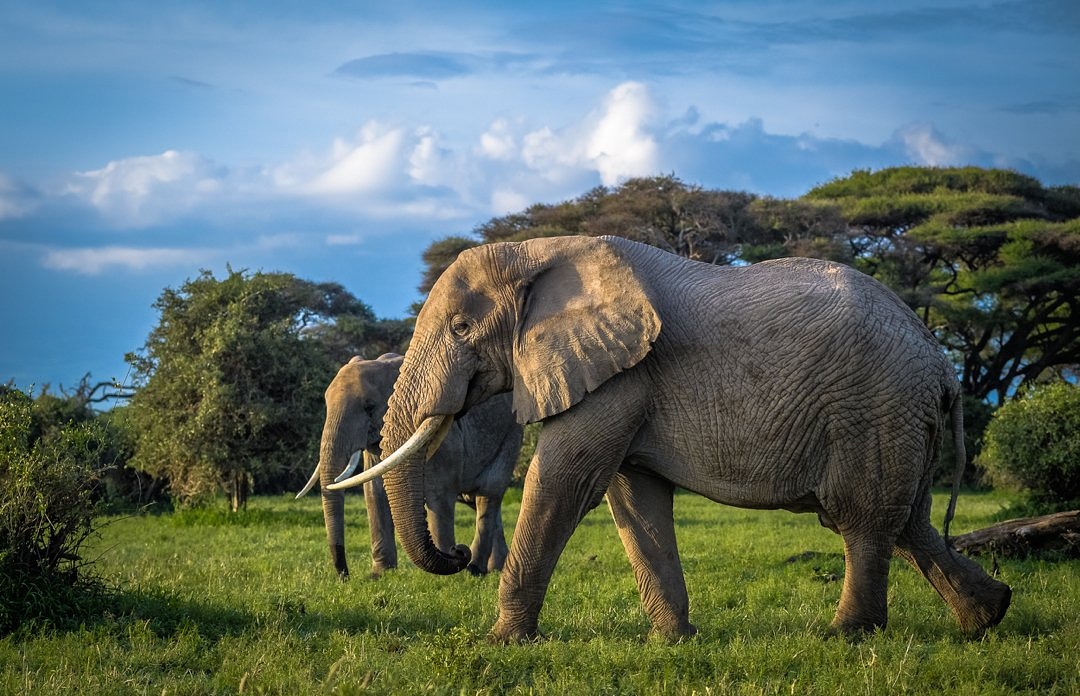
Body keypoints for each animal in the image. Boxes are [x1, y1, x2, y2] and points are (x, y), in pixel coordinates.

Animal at [296, 353, 523, 578]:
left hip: (510, 436)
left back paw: (474, 569)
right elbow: (374, 491)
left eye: (369, 407)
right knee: (478, 500)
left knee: (488, 494)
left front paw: (443, 573)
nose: (345, 576)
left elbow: (440, 493)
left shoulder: (444, 437)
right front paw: (380, 574)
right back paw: (496, 568)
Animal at [329, 235, 1012, 643]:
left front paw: (501, 642)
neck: (539, 250)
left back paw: (844, 637)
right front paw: (672, 642)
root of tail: (941, 362)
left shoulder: (620, 374)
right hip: (899, 419)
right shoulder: (624, 375)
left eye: (462, 327)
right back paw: (988, 616)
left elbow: (565, 482)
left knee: (862, 520)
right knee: (909, 523)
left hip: (873, 410)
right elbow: (635, 498)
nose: (454, 558)